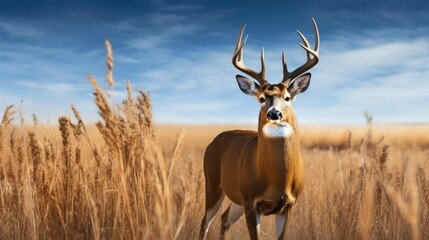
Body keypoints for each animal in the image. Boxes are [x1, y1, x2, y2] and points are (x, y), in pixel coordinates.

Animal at [200, 18, 318, 240]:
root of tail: (212, 142)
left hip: (235, 197)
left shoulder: (288, 206)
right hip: (213, 183)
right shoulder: (251, 200)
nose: (274, 114)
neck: (278, 180)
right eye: (261, 98)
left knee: (224, 219)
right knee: (206, 222)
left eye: (287, 97)